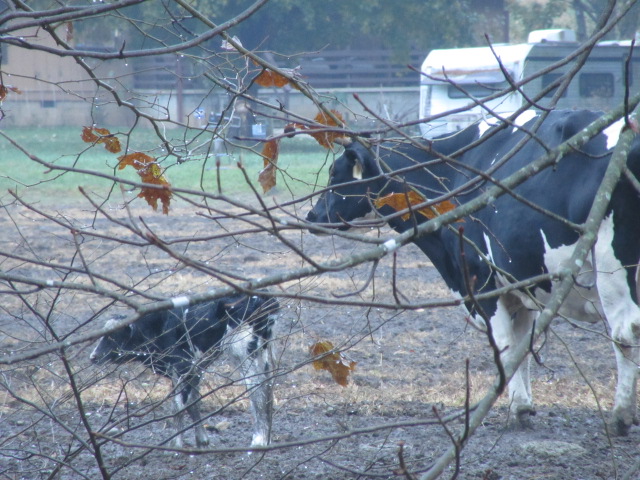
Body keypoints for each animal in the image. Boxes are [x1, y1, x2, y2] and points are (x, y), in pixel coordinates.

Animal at [90, 292, 279, 448]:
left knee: (257, 390)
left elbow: (177, 405)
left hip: (242, 352)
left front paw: (175, 445)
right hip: (263, 353)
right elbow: (192, 401)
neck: (159, 326)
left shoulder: (182, 365)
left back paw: (258, 441)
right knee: (268, 387)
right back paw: (267, 438)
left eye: (112, 335)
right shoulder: (193, 369)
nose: (93, 356)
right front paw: (202, 440)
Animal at [306, 109, 640, 436]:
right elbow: (522, 346)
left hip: (612, 267)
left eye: (334, 174)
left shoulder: (483, 283)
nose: (311, 216)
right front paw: (524, 406)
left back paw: (621, 417)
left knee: (625, 333)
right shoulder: (516, 287)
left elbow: (505, 347)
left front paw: (517, 410)